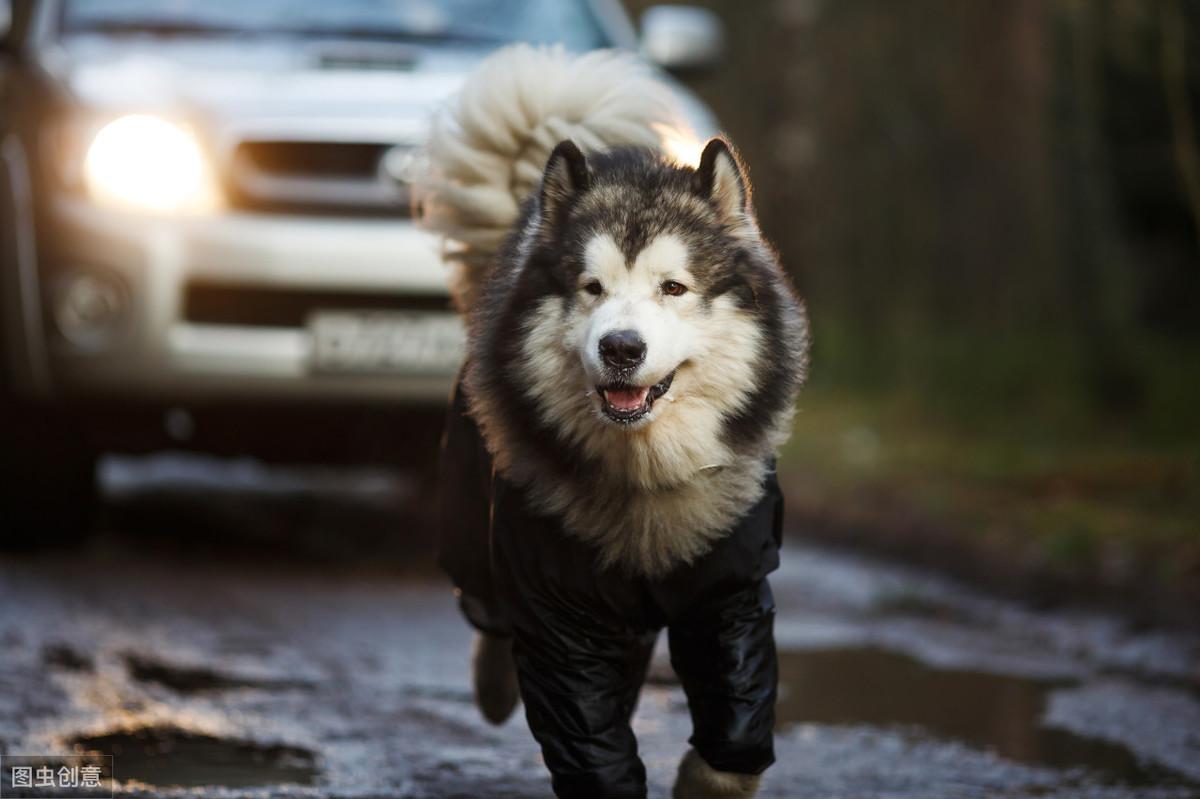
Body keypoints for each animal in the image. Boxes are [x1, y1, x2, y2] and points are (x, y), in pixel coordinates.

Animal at [420, 44, 806, 796]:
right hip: (471, 530)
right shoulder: (557, 607)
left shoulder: (730, 591)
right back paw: (494, 681)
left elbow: (735, 730)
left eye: (674, 288)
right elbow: (589, 739)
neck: (644, 476)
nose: (621, 348)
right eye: (591, 287)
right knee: (489, 615)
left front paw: (709, 777)